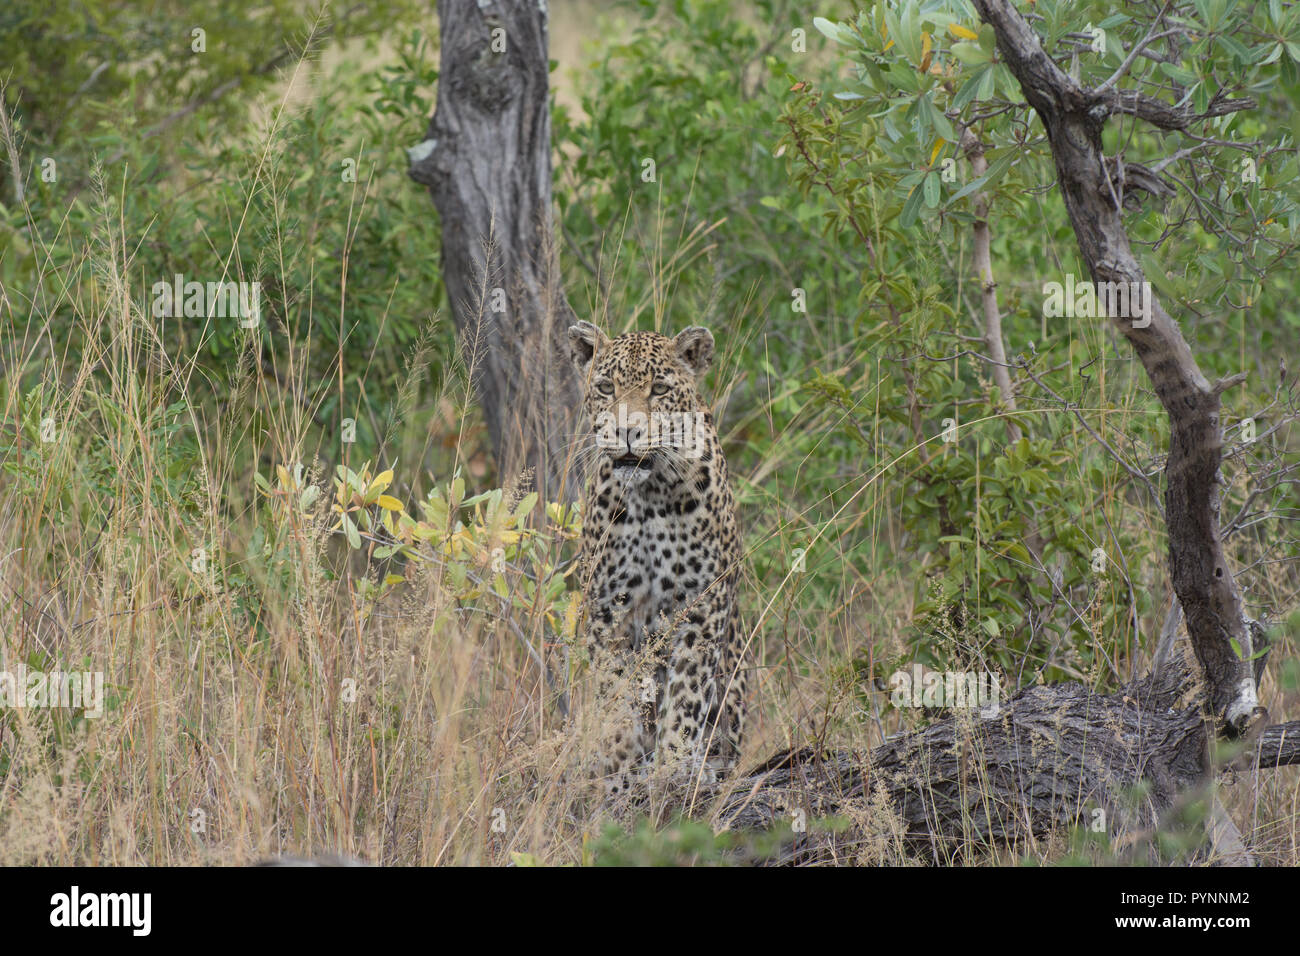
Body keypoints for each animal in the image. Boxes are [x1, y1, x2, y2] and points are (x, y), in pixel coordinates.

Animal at [567, 321, 748, 798]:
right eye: (606, 388)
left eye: (660, 389)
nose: (627, 431)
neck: (650, 494)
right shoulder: (608, 608)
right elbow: (614, 694)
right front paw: (620, 771)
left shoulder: (702, 603)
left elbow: (686, 694)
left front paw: (676, 767)